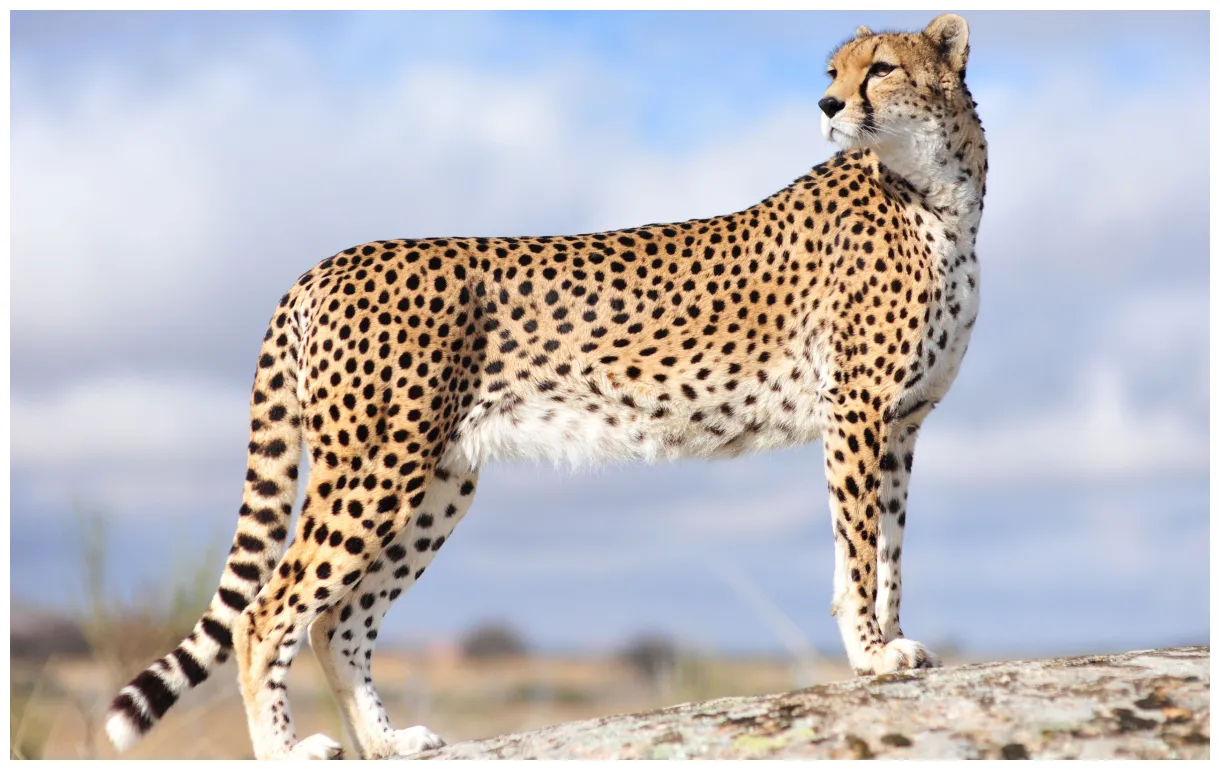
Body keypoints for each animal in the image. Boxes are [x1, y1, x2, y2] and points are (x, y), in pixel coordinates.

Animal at [105, 14, 986, 760]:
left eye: (880, 68)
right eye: (833, 72)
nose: (828, 104)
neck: (939, 193)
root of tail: (326, 263)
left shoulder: (901, 422)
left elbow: (887, 549)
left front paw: (892, 645)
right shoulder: (858, 413)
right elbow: (859, 549)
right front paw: (870, 655)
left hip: (438, 481)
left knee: (340, 622)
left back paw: (388, 742)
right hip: (376, 466)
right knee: (267, 613)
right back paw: (287, 751)